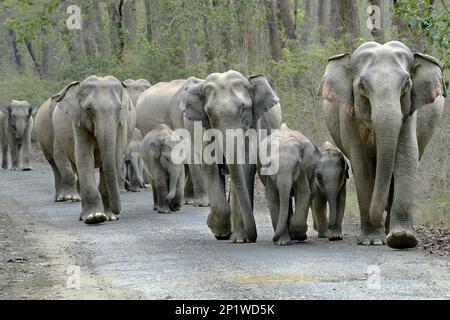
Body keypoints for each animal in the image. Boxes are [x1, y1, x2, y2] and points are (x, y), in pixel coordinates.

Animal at [51, 76, 134, 224]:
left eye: (119, 108)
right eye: (89, 109)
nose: (118, 212)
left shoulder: (121, 124)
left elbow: (114, 157)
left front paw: (110, 217)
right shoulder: (78, 121)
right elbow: (84, 157)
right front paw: (94, 217)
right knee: (77, 166)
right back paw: (84, 216)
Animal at [180, 70, 282, 242]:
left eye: (244, 109)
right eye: (210, 114)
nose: (253, 237)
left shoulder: (253, 127)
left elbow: (244, 168)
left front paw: (240, 239)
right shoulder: (207, 132)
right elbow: (210, 169)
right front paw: (218, 231)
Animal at [318, 40, 444, 250]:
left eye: (407, 83)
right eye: (362, 85)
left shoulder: (409, 112)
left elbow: (406, 157)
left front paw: (402, 238)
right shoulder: (348, 116)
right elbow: (361, 166)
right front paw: (372, 241)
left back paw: (390, 233)